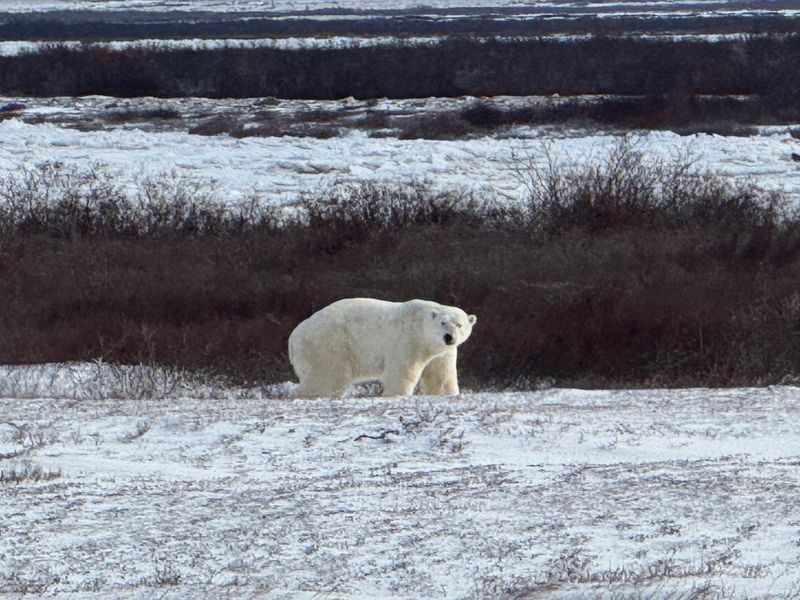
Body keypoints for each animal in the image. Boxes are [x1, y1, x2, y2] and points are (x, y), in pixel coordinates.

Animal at [288, 298, 476, 398]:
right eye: (443, 322)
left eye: (459, 324)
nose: (449, 337)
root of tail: (293, 338)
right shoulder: (407, 340)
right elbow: (402, 371)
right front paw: (397, 394)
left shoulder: (442, 352)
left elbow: (441, 374)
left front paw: (448, 393)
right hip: (329, 345)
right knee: (328, 378)